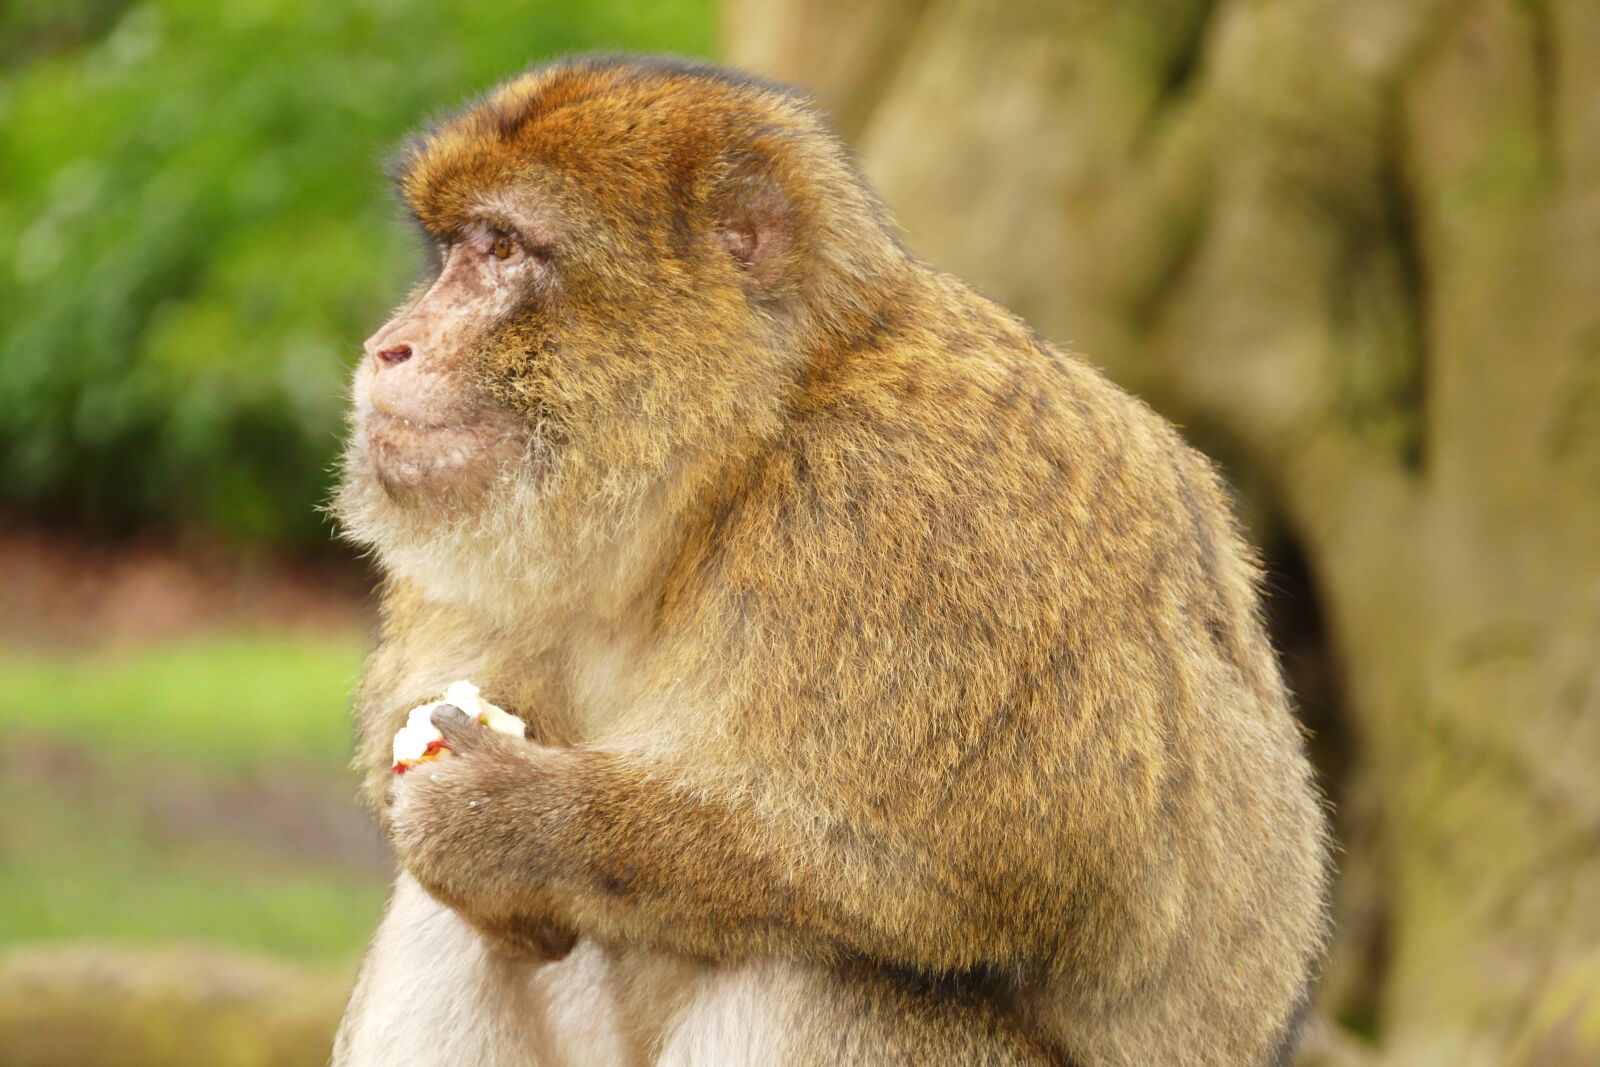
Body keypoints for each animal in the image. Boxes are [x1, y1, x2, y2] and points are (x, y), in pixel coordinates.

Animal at [329, 55, 1329, 1067]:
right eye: (454, 249)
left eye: (503, 249)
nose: (387, 345)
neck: (734, 469)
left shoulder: (910, 513)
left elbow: (940, 878)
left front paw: (507, 820)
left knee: (812, 973)